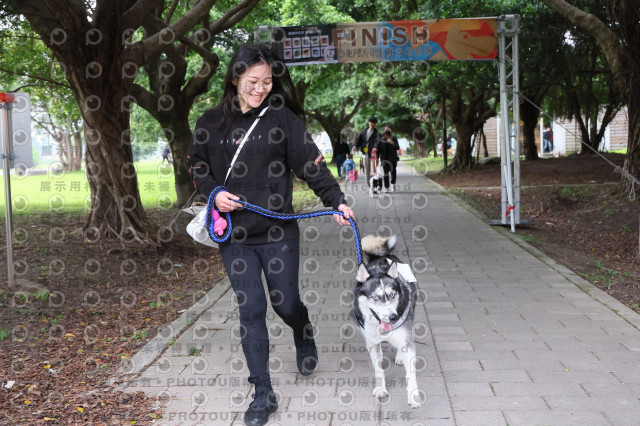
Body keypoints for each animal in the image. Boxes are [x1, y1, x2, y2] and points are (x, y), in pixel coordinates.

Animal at [352, 235, 421, 407]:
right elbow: (378, 369)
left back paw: (398, 356)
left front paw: (413, 395)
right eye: (375, 298)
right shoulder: (371, 342)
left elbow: (411, 373)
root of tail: (381, 256)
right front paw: (381, 388)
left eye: (392, 295)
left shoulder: (406, 341)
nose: (393, 317)